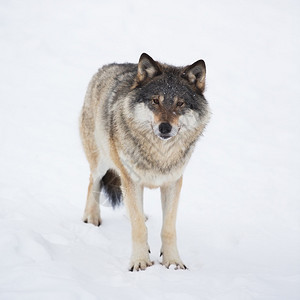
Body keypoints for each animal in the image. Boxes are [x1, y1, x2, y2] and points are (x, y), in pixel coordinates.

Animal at [79, 54, 211, 272]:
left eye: (180, 103)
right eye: (155, 101)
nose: (165, 127)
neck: (159, 156)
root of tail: (108, 66)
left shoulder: (172, 183)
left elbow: (168, 228)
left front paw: (173, 262)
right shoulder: (131, 180)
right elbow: (139, 227)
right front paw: (139, 262)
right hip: (101, 161)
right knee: (93, 181)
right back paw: (91, 217)